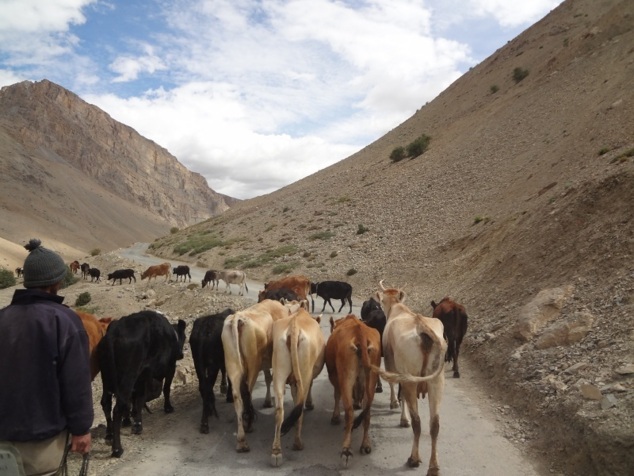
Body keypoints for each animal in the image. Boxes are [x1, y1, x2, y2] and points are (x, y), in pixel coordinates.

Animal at [96, 308, 185, 458]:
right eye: (184, 338)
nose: (181, 354)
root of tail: (113, 332)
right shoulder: (168, 367)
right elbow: (164, 389)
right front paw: (167, 408)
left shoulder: (142, 376)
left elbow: (136, 398)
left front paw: (132, 419)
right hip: (128, 375)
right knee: (117, 408)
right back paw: (117, 449)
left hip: (106, 377)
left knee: (106, 403)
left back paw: (109, 435)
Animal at [191, 308, 236, 436]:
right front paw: (229, 395)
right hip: (212, 366)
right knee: (206, 388)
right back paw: (205, 423)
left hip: (198, 363)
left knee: (203, 387)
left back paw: (209, 410)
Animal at [268, 304, 324, 464]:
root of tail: (294, 327)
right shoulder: (308, 376)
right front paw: (310, 404)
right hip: (304, 373)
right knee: (300, 405)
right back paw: (298, 443)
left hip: (279, 371)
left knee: (279, 411)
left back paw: (276, 451)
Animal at [326, 314, 380, 466]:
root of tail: (359, 332)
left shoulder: (335, 375)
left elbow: (336, 394)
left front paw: (335, 417)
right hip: (371, 377)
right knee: (367, 413)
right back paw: (365, 444)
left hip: (346, 377)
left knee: (349, 412)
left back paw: (346, 449)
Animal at [370, 280, 444, 474]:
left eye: (381, 301)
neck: (398, 309)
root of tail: (421, 326)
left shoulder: (391, 363)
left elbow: (394, 387)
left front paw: (398, 410)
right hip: (436, 382)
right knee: (434, 424)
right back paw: (434, 466)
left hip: (411, 380)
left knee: (417, 422)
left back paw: (414, 458)